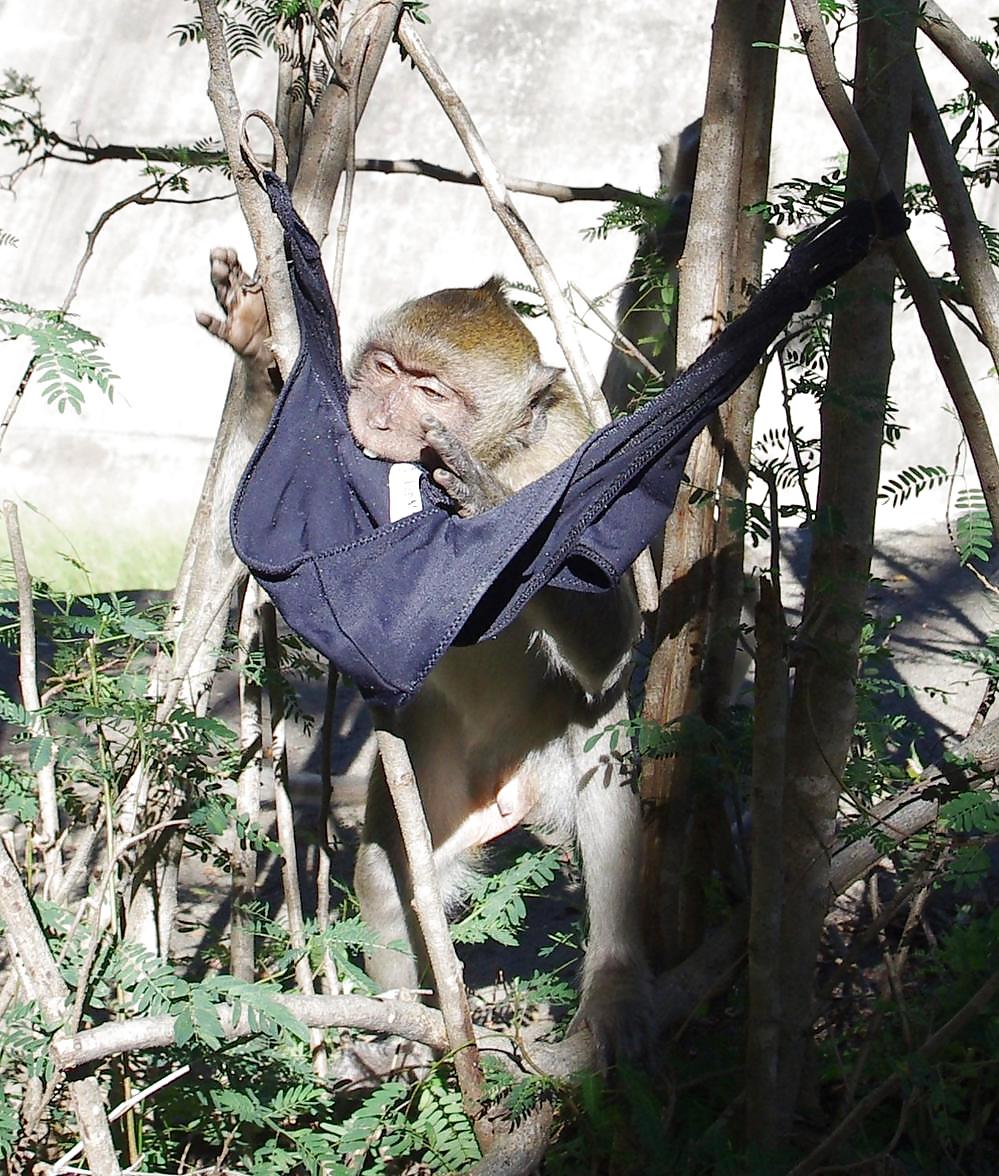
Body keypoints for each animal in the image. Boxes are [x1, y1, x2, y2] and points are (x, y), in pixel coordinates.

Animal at [199, 265, 652, 1064]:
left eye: (431, 391)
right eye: (386, 370)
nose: (377, 414)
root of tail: (511, 793)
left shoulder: (570, 453)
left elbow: (610, 644)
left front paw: (493, 505)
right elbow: (266, 555)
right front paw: (255, 356)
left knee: (602, 762)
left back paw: (611, 986)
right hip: (435, 771)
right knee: (389, 871)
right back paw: (410, 1032)